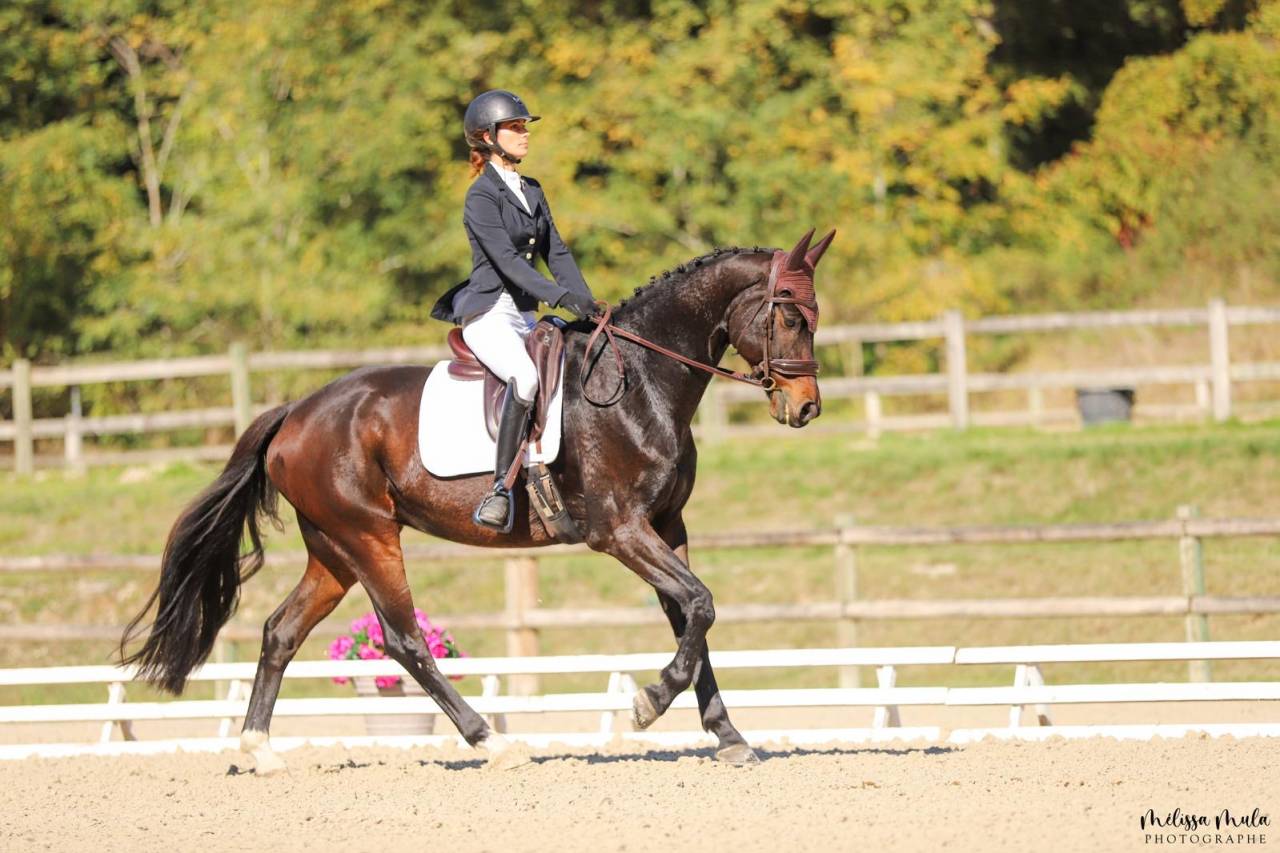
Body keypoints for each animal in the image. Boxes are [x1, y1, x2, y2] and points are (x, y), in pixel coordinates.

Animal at [120, 228, 835, 773]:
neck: (640, 382)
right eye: (788, 316)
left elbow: (693, 616)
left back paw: (260, 750)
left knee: (281, 632)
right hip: (369, 537)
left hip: (332, 548)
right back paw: (492, 740)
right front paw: (647, 703)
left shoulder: (667, 524)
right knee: (404, 639)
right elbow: (700, 604)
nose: (805, 409)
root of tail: (296, 412)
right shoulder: (620, 531)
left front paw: (730, 738)